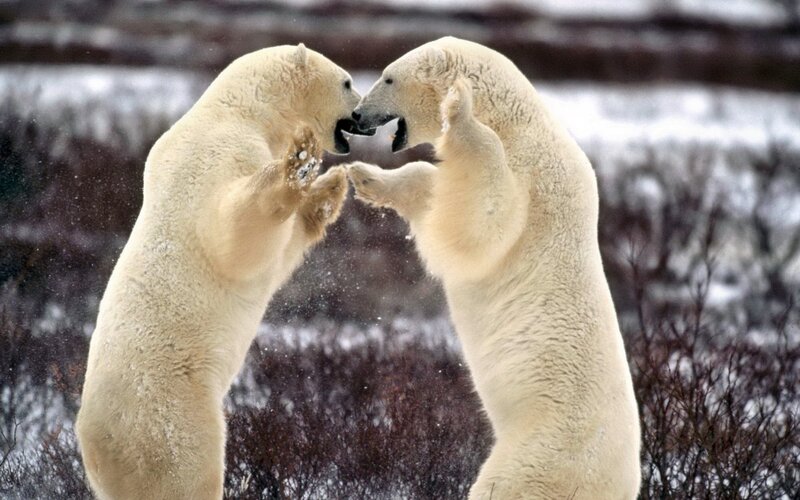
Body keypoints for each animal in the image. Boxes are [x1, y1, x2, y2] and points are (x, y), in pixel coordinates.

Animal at [76, 44, 364, 500]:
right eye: (347, 82)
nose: (363, 113)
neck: (240, 111)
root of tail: (95, 449)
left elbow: (283, 250)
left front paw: (330, 186)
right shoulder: (218, 156)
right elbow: (237, 236)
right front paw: (300, 160)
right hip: (170, 414)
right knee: (189, 470)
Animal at [346, 37, 641, 499]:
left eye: (388, 77)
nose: (357, 116)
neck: (519, 128)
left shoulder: (535, 184)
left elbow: (485, 219)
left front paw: (458, 108)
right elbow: (436, 189)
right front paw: (365, 177)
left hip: (541, 455)